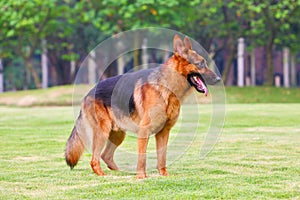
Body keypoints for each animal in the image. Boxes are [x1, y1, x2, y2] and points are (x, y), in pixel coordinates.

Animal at [65, 34, 220, 178]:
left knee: (106, 156)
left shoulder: (163, 132)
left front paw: (164, 174)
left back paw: (120, 173)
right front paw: (141, 177)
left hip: (118, 134)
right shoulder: (144, 132)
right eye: (201, 64)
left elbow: (162, 157)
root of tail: (89, 93)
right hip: (103, 132)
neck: (167, 87)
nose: (218, 79)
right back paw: (103, 175)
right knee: (94, 159)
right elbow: (142, 157)